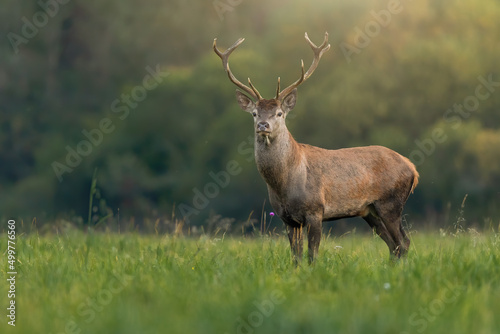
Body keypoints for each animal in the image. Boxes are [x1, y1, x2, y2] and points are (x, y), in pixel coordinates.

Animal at [211, 32, 418, 264]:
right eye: (254, 113)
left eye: (279, 113)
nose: (263, 125)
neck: (285, 183)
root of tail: (412, 168)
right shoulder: (287, 218)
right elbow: (296, 257)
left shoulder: (316, 210)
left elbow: (312, 255)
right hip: (369, 210)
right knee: (394, 245)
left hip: (390, 203)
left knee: (403, 242)